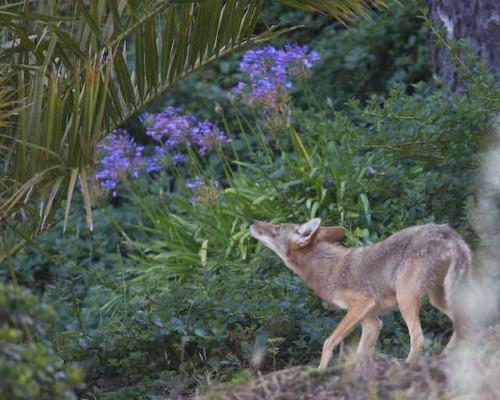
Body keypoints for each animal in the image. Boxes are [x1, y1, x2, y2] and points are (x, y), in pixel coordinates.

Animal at [249, 218, 474, 370]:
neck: (329, 270)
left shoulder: (362, 304)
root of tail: (447, 231)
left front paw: (320, 370)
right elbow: (359, 353)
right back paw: (447, 357)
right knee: (462, 324)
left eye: (276, 228)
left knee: (418, 340)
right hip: (437, 300)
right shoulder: (372, 321)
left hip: (406, 299)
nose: (251, 221)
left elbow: (328, 342)